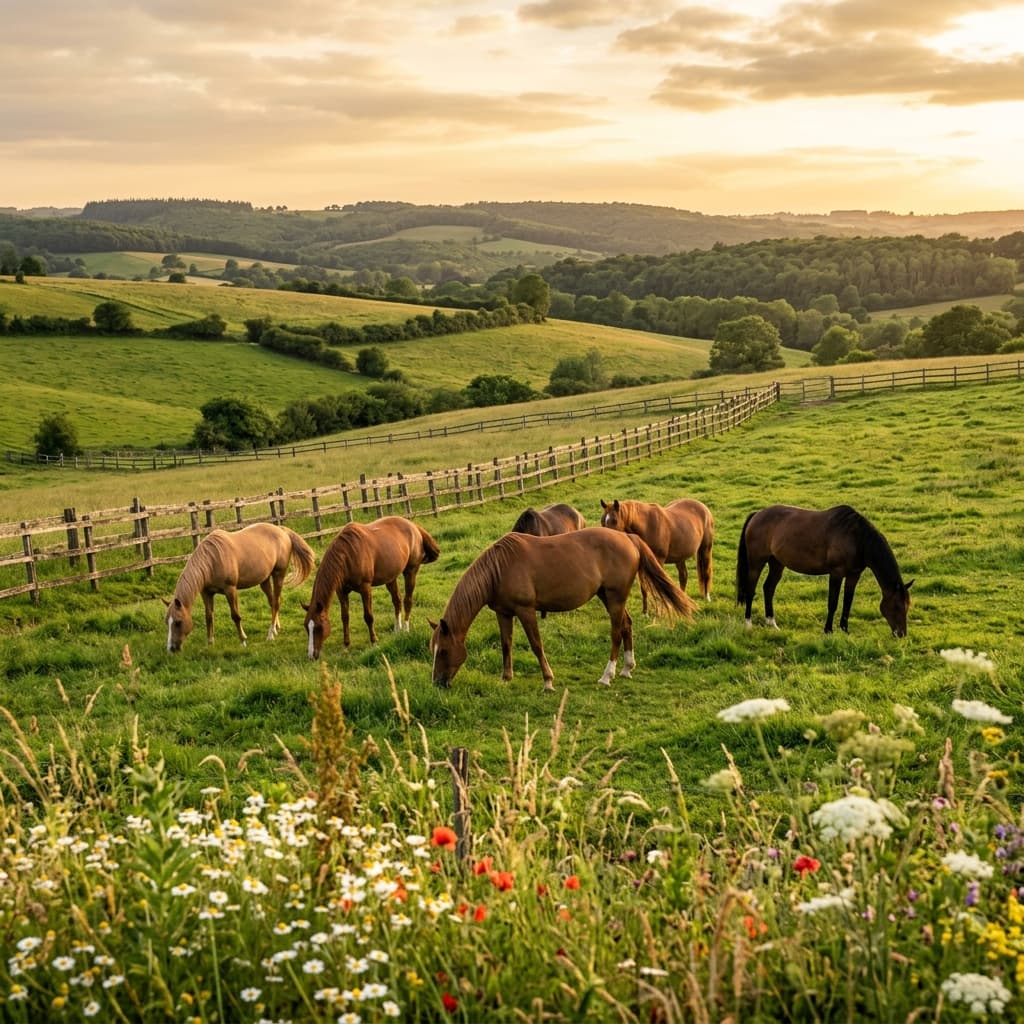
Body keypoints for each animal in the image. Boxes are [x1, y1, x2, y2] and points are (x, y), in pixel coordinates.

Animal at [165, 522, 316, 652]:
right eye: (167, 622)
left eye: (178, 622)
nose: (172, 648)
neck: (212, 560)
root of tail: (282, 530)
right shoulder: (206, 593)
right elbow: (209, 617)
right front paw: (210, 643)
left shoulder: (230, 590)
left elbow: (235, 616)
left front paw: (243, 640)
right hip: (265, 579)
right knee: (273, 601)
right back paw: (276, 628)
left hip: (279, 574)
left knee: (276, 602)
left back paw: (270, 635)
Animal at [303, 516, 440, 659]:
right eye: (306, 627)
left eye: (318, 627)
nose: (311, 655)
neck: (348, 555)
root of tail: (413, 526)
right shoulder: (341, 592)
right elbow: (345, 617)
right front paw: (346, 645)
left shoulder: (365, 588)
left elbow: (368, 616)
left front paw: (374, 641)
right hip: (390, 578)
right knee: (397, 601)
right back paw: (397, 630)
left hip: (411, 571)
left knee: (407, 600)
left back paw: (406, 629)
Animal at [429, 527, 696, 692]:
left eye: (444, 651)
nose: (438, 683)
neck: (499, 569)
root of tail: (628, 538)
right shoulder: (503, 613)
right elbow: (506, 644)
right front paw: (506, 678)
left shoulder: (526, 611)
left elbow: (536, 645)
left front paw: (548, 681)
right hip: (608, 596)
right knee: (627, 626)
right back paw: (627, 669)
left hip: (615, 597)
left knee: (616, 632)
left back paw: (606, 676)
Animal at [735, 504, 913, 636]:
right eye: (897, 606)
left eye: (907, 606)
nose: (901, 634)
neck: (857, 539)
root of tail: (757, 514)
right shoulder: (836, 573)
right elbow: (833, 603)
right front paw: (828, 630)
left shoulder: (854, 575)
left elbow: (848, 602)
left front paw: (845, 629)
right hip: (756, 563)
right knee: (750, 590)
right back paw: (748, 624)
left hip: (777, 563)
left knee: (769, 588)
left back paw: (771, 623)